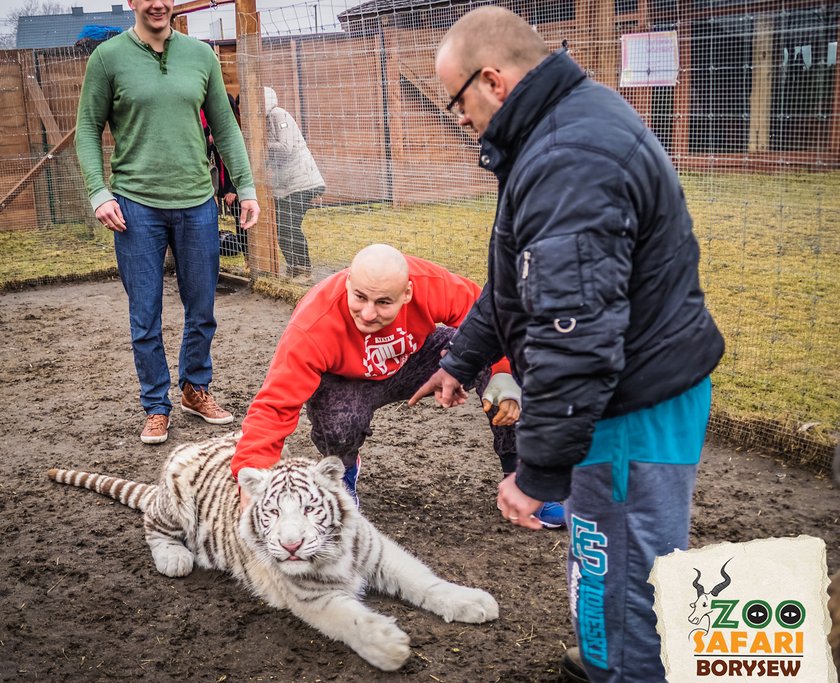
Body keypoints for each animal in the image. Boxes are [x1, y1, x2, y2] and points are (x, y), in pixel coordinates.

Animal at [46, 432, 498, 672]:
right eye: (274, 513)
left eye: (311, 509)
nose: (291, 544)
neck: (333, 554)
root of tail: (189, 445)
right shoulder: (311, 596)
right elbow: (351, 620)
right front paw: (390, 647)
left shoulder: (380, 551)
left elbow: (424, 580)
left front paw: (473, 602)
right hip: (173, 503)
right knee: (152, 526)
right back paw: (174, 558)